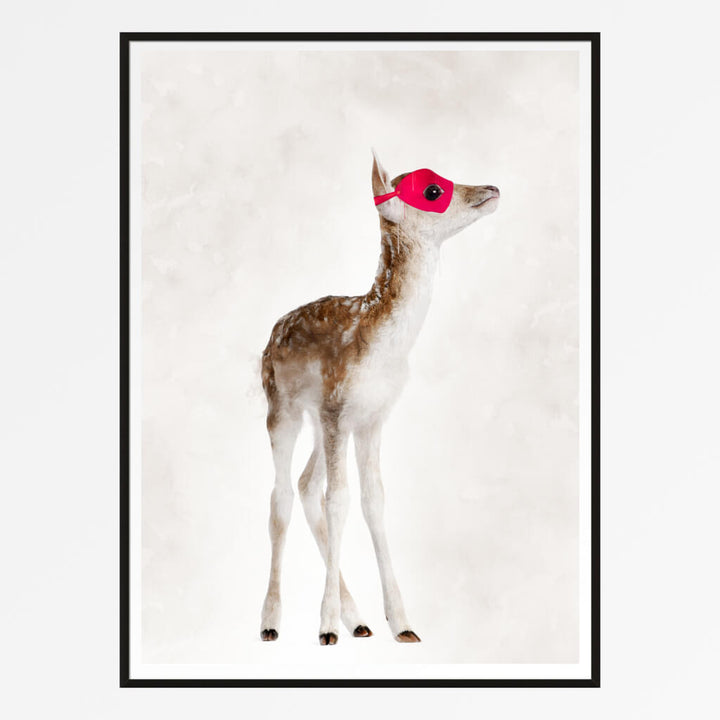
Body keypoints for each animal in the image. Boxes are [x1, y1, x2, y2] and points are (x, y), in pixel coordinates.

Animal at [260, 151, 500, 645]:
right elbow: (339, 499)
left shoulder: (370, 416)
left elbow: (373, 500)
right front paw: (325, 628)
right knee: (281, 496)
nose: (491, 188)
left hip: (320, 420)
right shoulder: (337, 407)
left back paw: (359, 620)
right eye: (432, 190)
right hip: (282, 407)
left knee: (306, 484)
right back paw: (272, 622)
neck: (381, 346)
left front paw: (402, 624)